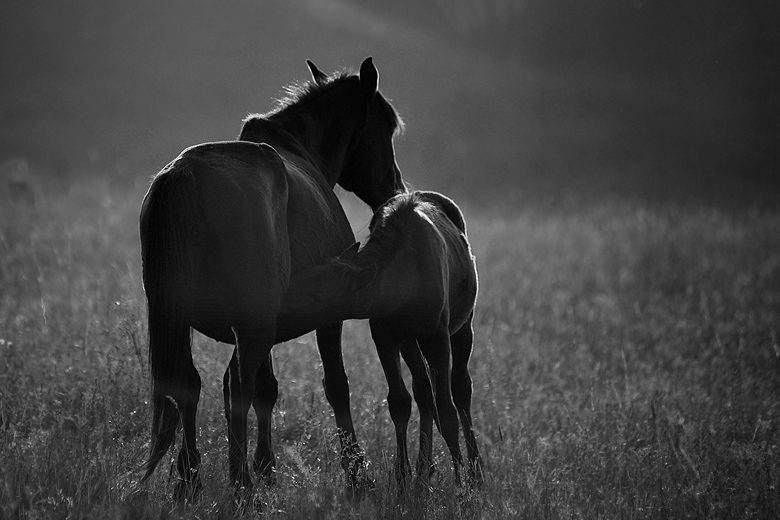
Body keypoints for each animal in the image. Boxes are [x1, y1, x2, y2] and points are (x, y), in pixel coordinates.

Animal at [139, 58, 406, 500]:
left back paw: (191, 478)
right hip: (253, 324)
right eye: (385, 126)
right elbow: (336, 386)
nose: (395, 188)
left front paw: (267, 467)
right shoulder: (322, 316)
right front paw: (355, 472)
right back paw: (238, 482)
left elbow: (265, 388)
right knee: (237, 387)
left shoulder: (262, 322)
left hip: (195, 318)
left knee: (190, 384)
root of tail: (184, 175)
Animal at [280, 191, 484, 488]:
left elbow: (448, 411)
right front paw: (402, 475)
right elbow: (399, 402)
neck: (402, 289)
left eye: (318, 295)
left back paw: (476, 470)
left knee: (461, 389)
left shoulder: (437, 335)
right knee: (424, 393)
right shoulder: (385, 336)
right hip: (410, 342)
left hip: (462, 326)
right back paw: (423, 470)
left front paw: (461, 483)